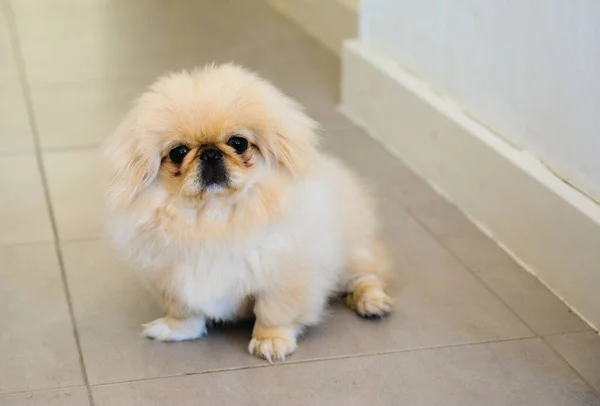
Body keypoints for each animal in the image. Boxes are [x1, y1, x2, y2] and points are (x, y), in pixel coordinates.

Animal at [103, 63, 394, 362]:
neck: (213, 219)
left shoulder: (284, 277)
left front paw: (271, 341)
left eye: (238, 143)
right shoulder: (171, 280)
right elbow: (185, 313)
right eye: (178, 152)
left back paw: (371, 302)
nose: (209, 153)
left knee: (368, 275)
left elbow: (274, 313)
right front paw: (174, 330)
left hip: (353, 255)